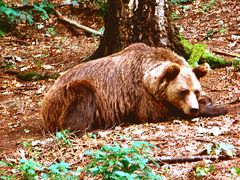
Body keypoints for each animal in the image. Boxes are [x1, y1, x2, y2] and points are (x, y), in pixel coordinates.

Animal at [41, 42, 227, 132]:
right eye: (183, 91)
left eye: (196, 90)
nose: (193, 109)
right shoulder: (142, 97)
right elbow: (156, 113)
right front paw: (218, 108)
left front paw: (207, 100)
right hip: (69, 93)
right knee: (82, 100)